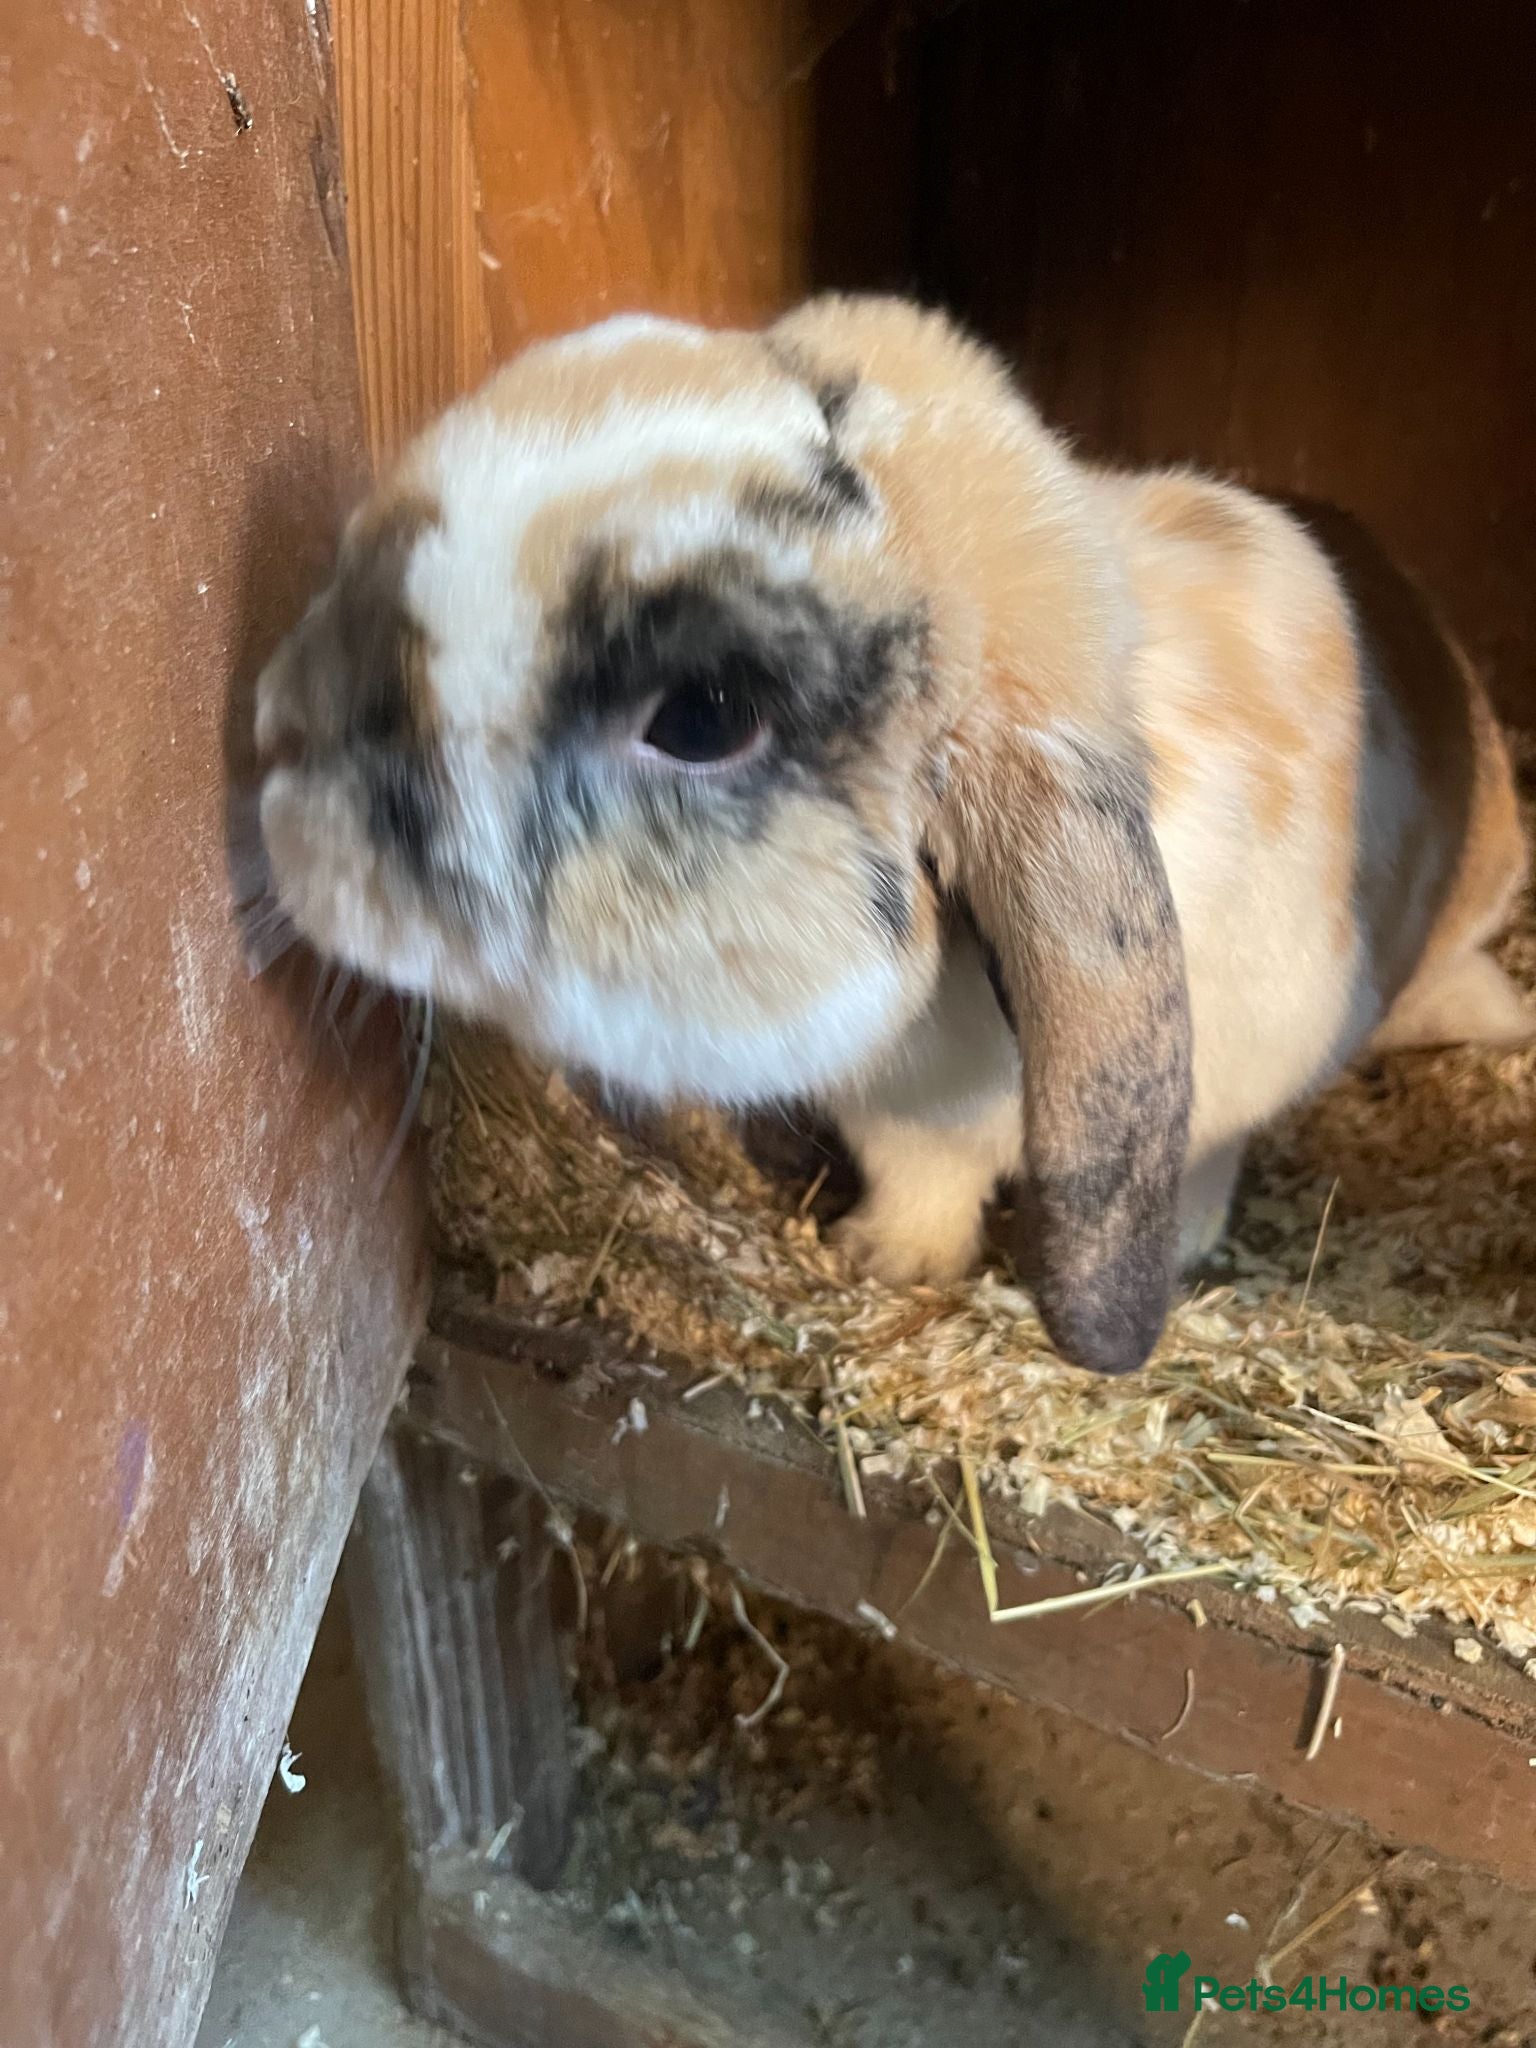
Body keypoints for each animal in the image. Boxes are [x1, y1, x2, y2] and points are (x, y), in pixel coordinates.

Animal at [255, 296, 1531, 1376]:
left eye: (703, 715)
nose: (277, 727)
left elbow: (1195, 1149)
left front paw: (1165, 1251)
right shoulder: (894, 1113)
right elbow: (919, 1179)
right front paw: (884, 1257)